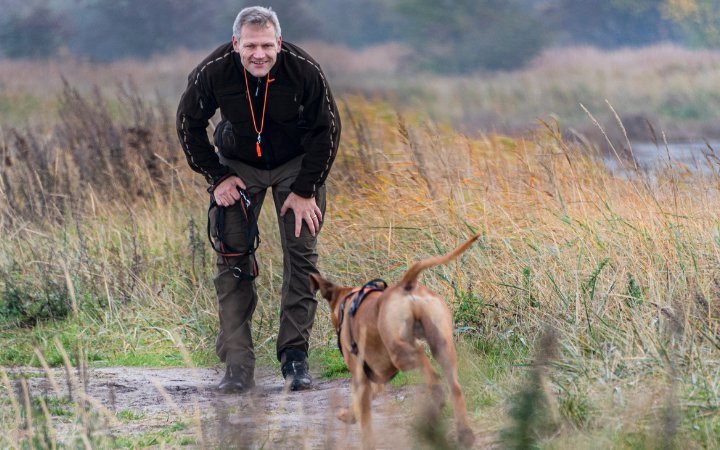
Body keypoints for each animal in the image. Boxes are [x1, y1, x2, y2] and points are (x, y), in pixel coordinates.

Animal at [310, 234, 478, 448]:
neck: (348, 302)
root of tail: (406, 284)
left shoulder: (360, 378)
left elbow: (365, 423)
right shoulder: (375, 380)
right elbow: (358, 405)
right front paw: (347, 415)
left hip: (399, 351)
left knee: (424, 361)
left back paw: (436, 396)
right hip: (443, 345)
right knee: (455, 387)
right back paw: (464, 433)